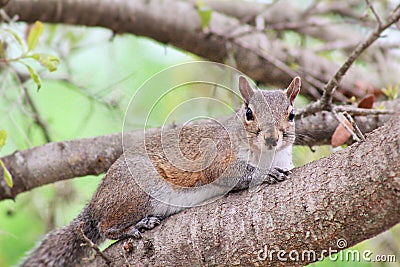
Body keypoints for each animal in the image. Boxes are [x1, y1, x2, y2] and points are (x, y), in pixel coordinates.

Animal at [19, 76, 300, 267]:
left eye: (292, 114)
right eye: (249, 113)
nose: (272, 138)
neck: (266, 154)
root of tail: (96, 203)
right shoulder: (218, 153)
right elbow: (225, 172)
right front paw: (265, 175)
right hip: (137, 193)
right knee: (106, 226)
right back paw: (135, 226)